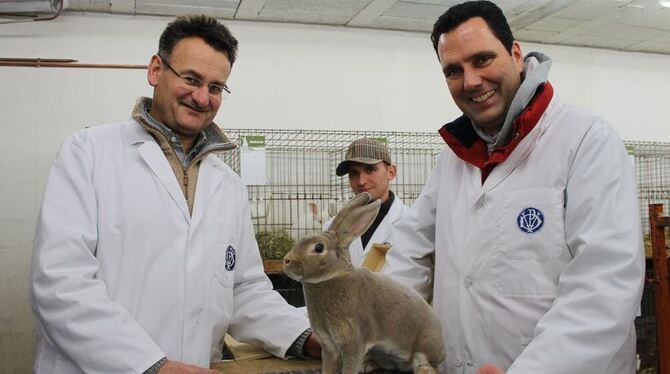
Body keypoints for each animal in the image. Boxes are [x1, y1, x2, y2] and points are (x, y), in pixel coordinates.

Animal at [284, 193, 446, 374]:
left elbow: (349, 366)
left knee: (424, 362)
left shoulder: (353, 343)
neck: (332, 277)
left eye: (319, 248)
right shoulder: (329, 347)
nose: (287, 260)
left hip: (424, 344)